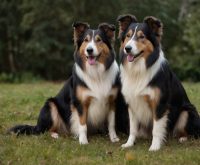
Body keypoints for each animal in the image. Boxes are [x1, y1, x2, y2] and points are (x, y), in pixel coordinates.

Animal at [117, 14, 200, 151]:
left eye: (142, 37)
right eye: (128, 36)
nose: (127, 48)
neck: (139, 68)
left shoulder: (159, 104)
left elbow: (156, 128)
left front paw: (154, 147)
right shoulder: (133, 103)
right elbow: (132, 129)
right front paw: (129, 144)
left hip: (187, 112)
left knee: (192, 133)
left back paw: (183, 138)